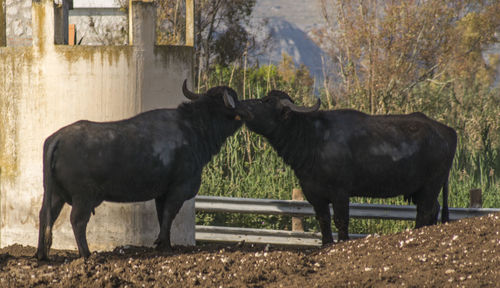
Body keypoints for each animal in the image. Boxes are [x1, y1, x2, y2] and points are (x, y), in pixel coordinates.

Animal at [36, 80, 244, 260]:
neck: (193, 129)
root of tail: (58, 137)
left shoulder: (161, 194)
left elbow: (162, 218)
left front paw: (164, 245)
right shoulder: (179, 189)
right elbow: (168, 216)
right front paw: (165, 247)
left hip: (55, 195)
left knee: (45, 216)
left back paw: (41, 254)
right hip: (83, 197)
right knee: (77, 221)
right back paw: (87, 255)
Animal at [238, 90, 458, 245]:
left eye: (267, 101)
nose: (241, 104)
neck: (313, 139)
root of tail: (447, 130)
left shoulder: (340, 193)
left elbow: (341, 221)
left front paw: (342, 243)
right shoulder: (314, 194)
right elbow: (323, 220)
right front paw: (326, 245)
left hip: (431, 185)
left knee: (425, 212)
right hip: (423, 189)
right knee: (433, 210)